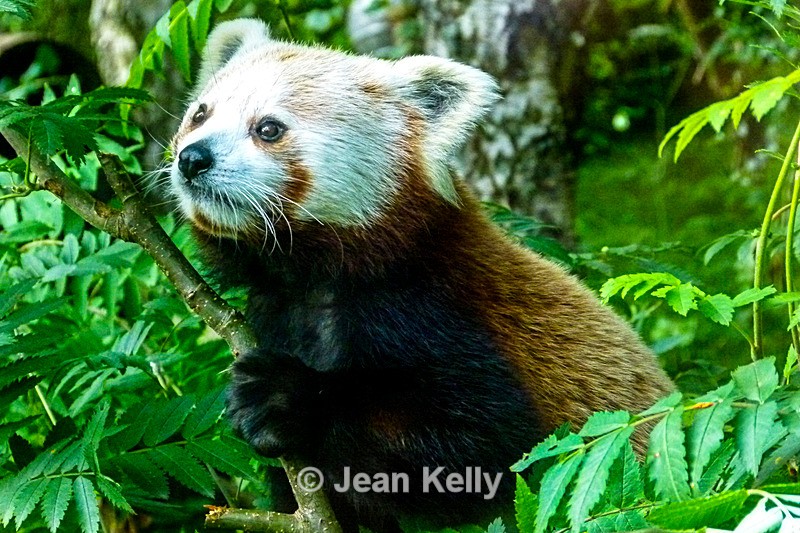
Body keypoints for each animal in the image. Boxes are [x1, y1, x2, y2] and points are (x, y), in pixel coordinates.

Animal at [168, 18, 674, 532]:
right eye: (200, 114)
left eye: (268, 128)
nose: (193, 158)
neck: (313, 278)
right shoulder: (274, 312)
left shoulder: (428, 309)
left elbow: (490, 449)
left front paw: (288, 398)